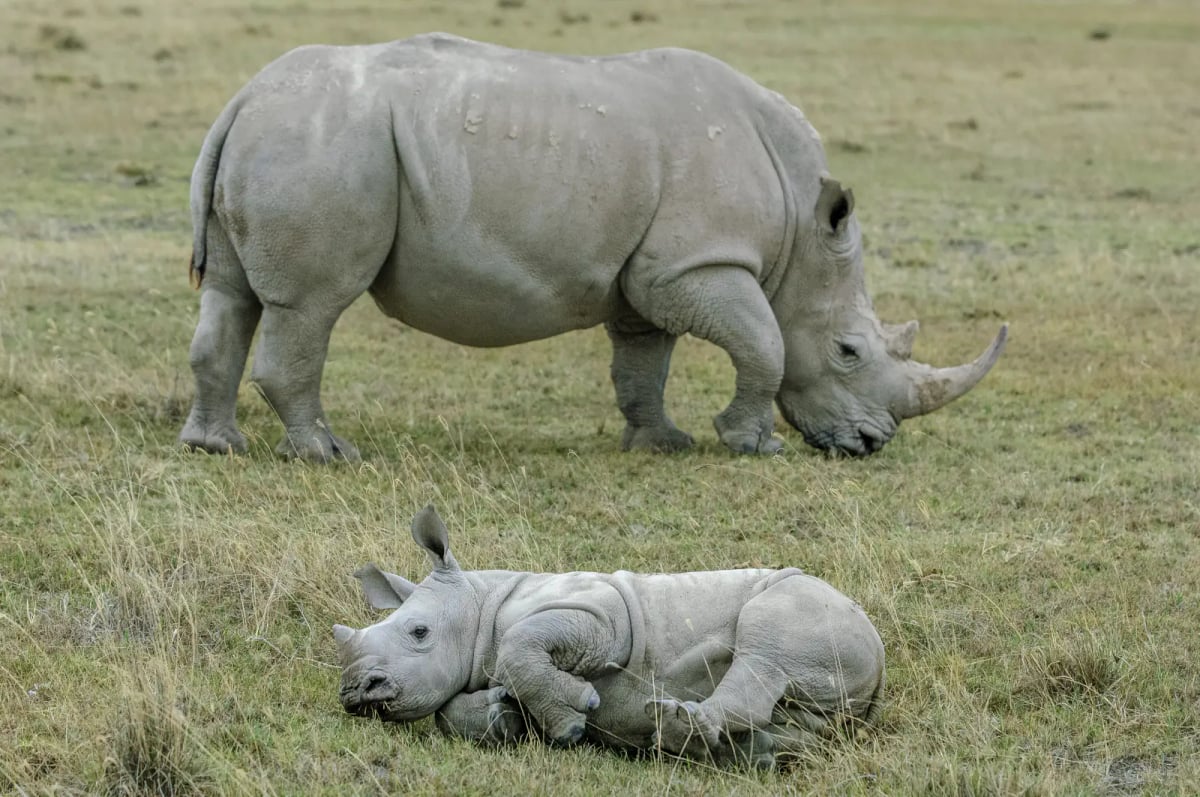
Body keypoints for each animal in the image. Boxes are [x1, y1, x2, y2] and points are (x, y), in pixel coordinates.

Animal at [181, 33, 1006, 462]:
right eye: (848, 352)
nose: (869, 443)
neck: (802, 231)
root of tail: (242, 98)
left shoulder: (651, 276)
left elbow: (643, 361)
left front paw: (661, 442)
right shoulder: (700, 261)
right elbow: (764, 343)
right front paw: (751, 444)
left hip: (286, 135)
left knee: (231, 296)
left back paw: (216, 446)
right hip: (324, 144)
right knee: (311, 306)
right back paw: (328, 453)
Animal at [333, 505, 886, 768]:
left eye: (419, 632)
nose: (356, 692)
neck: (479, 601)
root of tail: (879, 650)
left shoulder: (601, 612)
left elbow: (520, 647)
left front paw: (572, 722)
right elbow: (451, 711)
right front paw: (503, 719)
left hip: (807, 604)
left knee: (764, 646)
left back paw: (676, 728)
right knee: (810, 722)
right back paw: (744, 753)